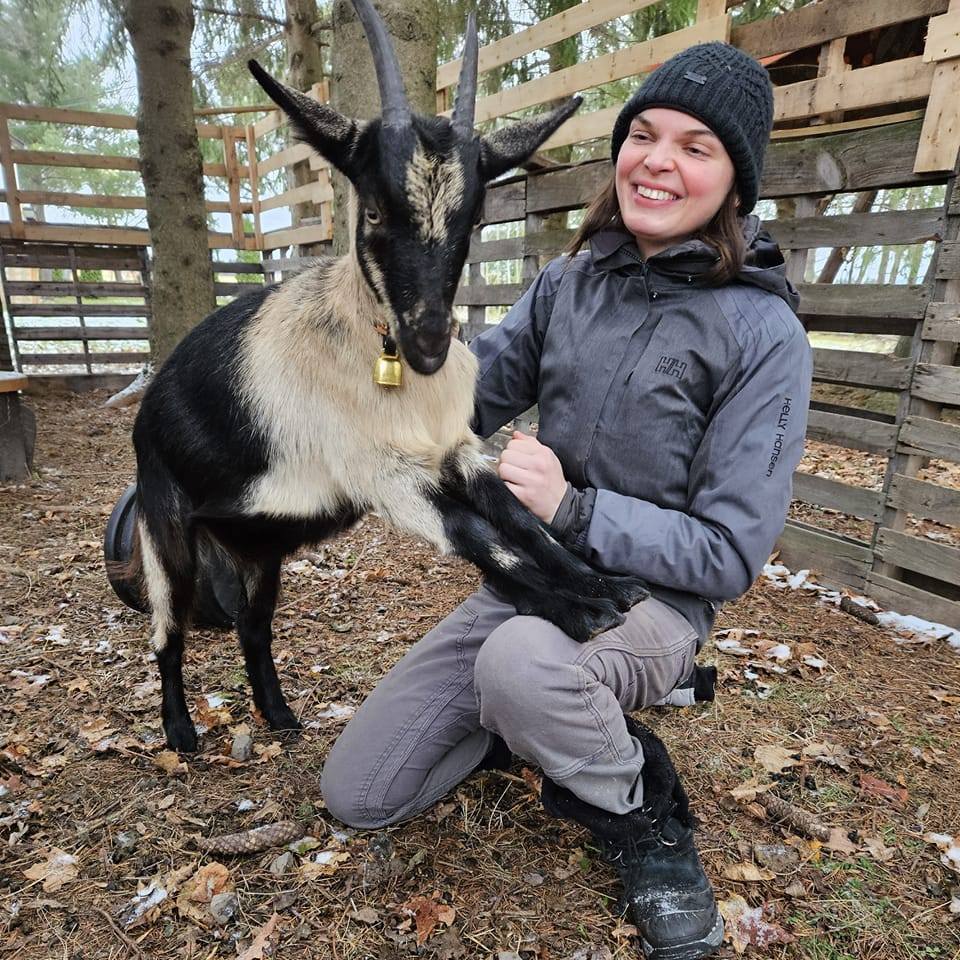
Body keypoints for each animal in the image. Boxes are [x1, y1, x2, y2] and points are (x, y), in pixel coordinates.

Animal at [131, 0, 650, 753]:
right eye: (373, 208)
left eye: (475, 216)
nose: (429, 341)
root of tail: (147, 410)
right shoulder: (383, 475)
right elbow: (481, 540)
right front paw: (582, 610)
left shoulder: (455, 452)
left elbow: (520, 522)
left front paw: (604, 586)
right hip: (163, 526)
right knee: (167, 634)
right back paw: (180, 731)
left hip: (258, 548)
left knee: (254, 628)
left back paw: (280, 716)